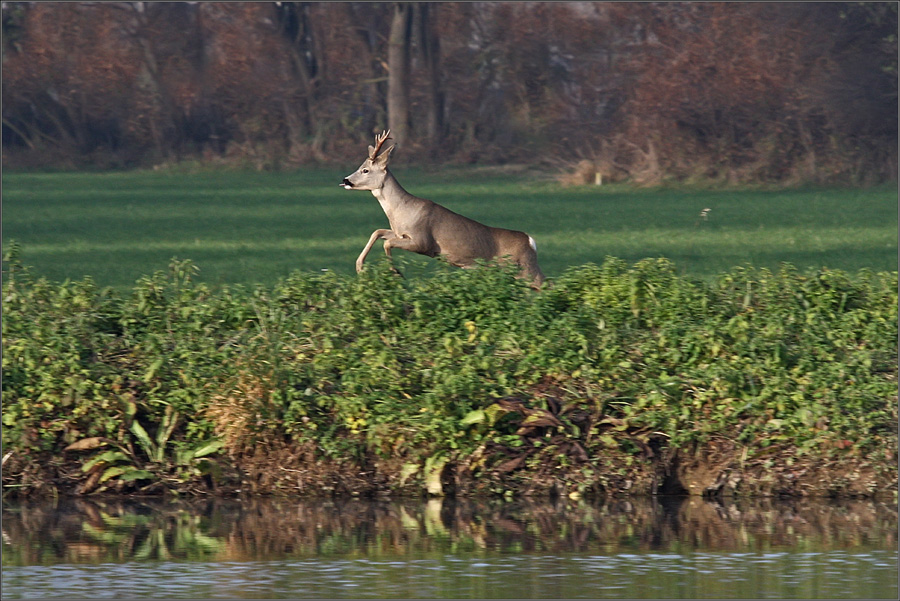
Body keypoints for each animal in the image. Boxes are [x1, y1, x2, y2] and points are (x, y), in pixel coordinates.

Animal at [342, 129, 544, 288]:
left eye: (365, 170)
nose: (345, 180)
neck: (401, 212)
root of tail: (530, 241)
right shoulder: (401, 234)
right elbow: (378, 232)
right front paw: (359, 267)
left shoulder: (423, 241)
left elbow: (387, 242)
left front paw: (396, 273)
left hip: (525, 267)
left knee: (544, 284)